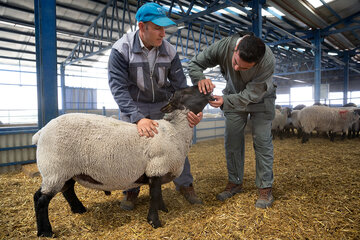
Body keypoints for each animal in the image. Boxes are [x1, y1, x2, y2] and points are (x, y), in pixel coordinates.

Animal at [32, 86, 214, 236]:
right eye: (187, 92)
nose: (207, 88)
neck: (175, 131)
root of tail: (41, 132)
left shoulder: (158, 171)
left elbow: (159, 195)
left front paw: (164, 210)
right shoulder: (156, 167)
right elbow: (154, 196)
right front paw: (154, 221)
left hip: (66, 171)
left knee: (68, 190)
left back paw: (79, 209)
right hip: (54, 169)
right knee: (40, 199)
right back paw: (45, 232)